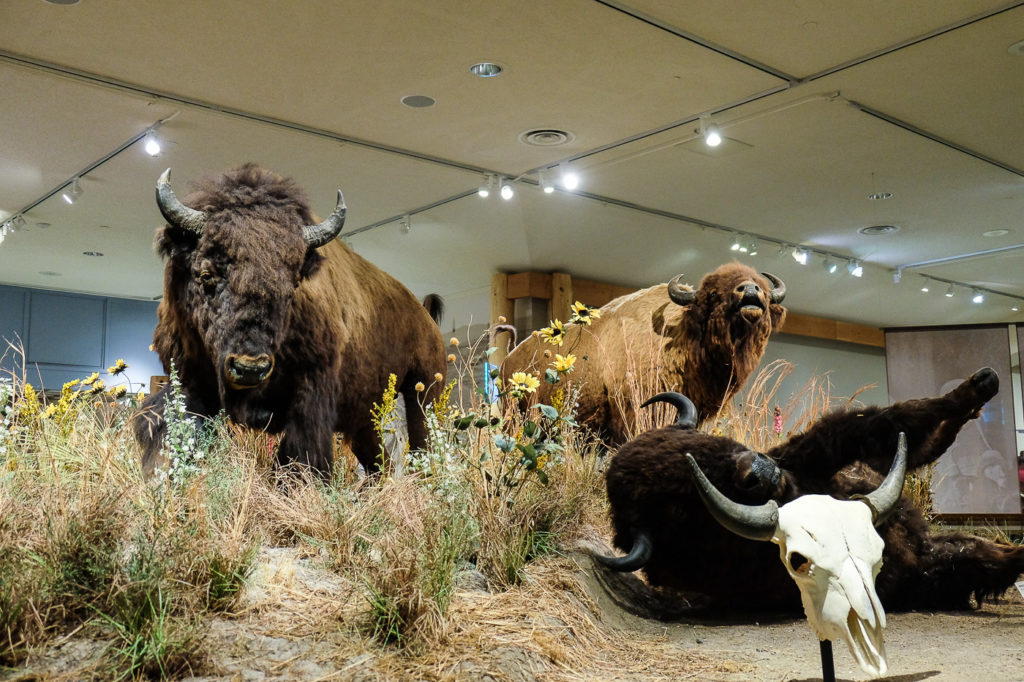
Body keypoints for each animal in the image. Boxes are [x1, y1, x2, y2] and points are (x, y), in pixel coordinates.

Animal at [132, 161, 444, 475]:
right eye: (207, 273)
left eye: (292, 285)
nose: (249, 368)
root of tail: (423, 315)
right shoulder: (188, 382)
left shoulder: (311, 397)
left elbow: (298, 458)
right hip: (366, 416)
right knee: (379, 461)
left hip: (424, 391)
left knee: (422, 443)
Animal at [593, 368, 1024, 614]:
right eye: (676, 503)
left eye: (699, 442)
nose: (758, 470)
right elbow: (986, 560)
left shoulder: (816, 451)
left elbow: (889, 422)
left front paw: (979, 386)